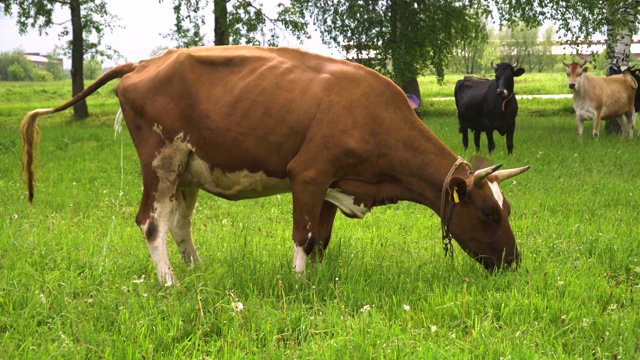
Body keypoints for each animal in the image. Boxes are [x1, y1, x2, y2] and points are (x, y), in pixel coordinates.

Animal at [21, 45, 528, 286]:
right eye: (488, 213)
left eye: (506, 210)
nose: (513, 262)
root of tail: (144, 63)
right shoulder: (309, 174)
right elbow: (303, 237)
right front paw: (302, 286)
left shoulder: (335, 185)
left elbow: (321, 239)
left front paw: (320, 281)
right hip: (160, 161)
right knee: (151, 222)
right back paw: (169, 282)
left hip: (188, 169)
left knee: (180, 225)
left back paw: (198, 270)